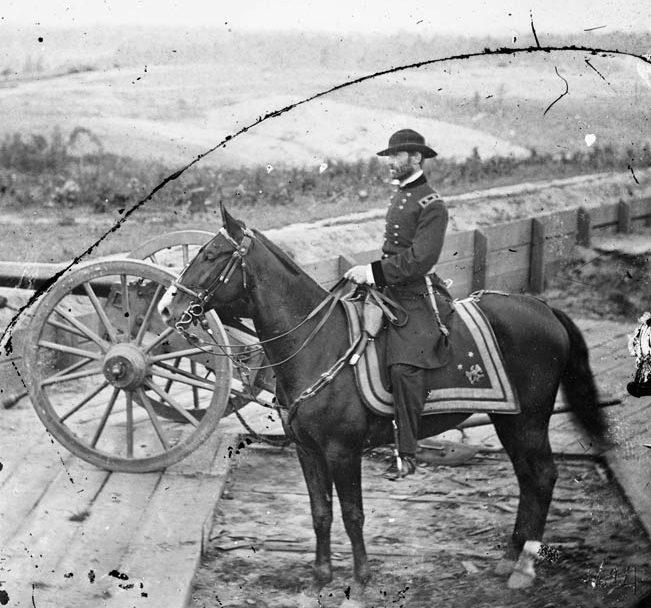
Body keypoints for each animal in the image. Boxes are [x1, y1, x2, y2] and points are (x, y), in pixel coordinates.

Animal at [160, 209, 608, 592]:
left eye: (210, 255)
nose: (167, 306)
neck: (319, 344)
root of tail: (544, 308)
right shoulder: (307, 449)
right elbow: (320, 512)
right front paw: (321, 575)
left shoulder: (342, 450)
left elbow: (352, 513)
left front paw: (360, 578)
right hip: (508, 419)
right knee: (528, 479)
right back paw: (510, 558)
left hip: (529, 420)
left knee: (543, 476)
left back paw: (525, 566)